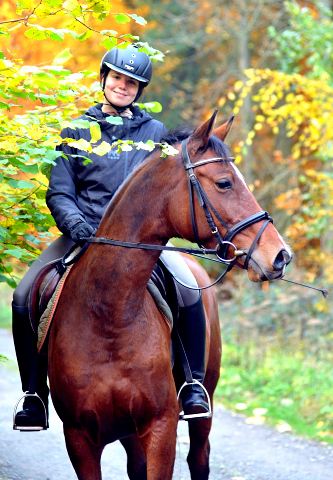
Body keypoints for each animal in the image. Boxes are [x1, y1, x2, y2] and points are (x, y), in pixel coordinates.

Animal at [46, 110, 290, 478]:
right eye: (224, 183)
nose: (280, 255)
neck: (108, 315)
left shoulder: (161, 428)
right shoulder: (79, 438)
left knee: (199, 457)